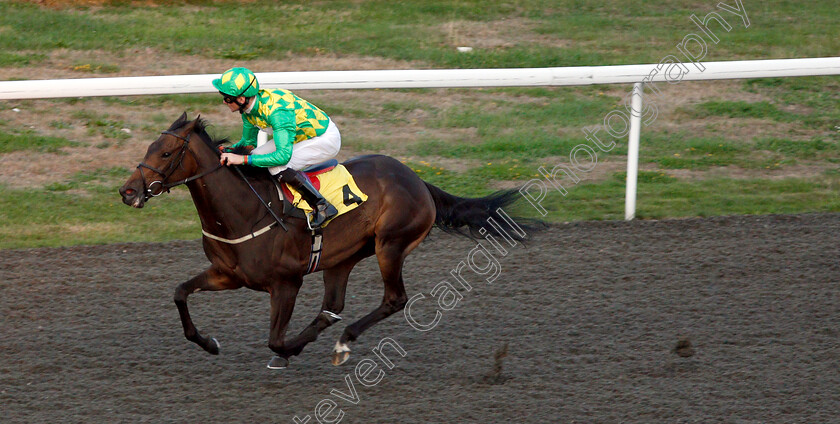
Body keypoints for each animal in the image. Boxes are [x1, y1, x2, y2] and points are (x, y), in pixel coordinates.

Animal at [120, 112, 524, 368]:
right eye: (148, 149)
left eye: (166, 153)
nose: (128, 191)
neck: (244, 210)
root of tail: (417, 179)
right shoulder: (227, 274)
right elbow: (180, 293)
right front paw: (209, 342)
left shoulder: (287, 282)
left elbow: (275, 339)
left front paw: (287, 353)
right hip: (342, 258)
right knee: (333, 304)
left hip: (390, 245)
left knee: (394, 299)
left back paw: (343, 341)